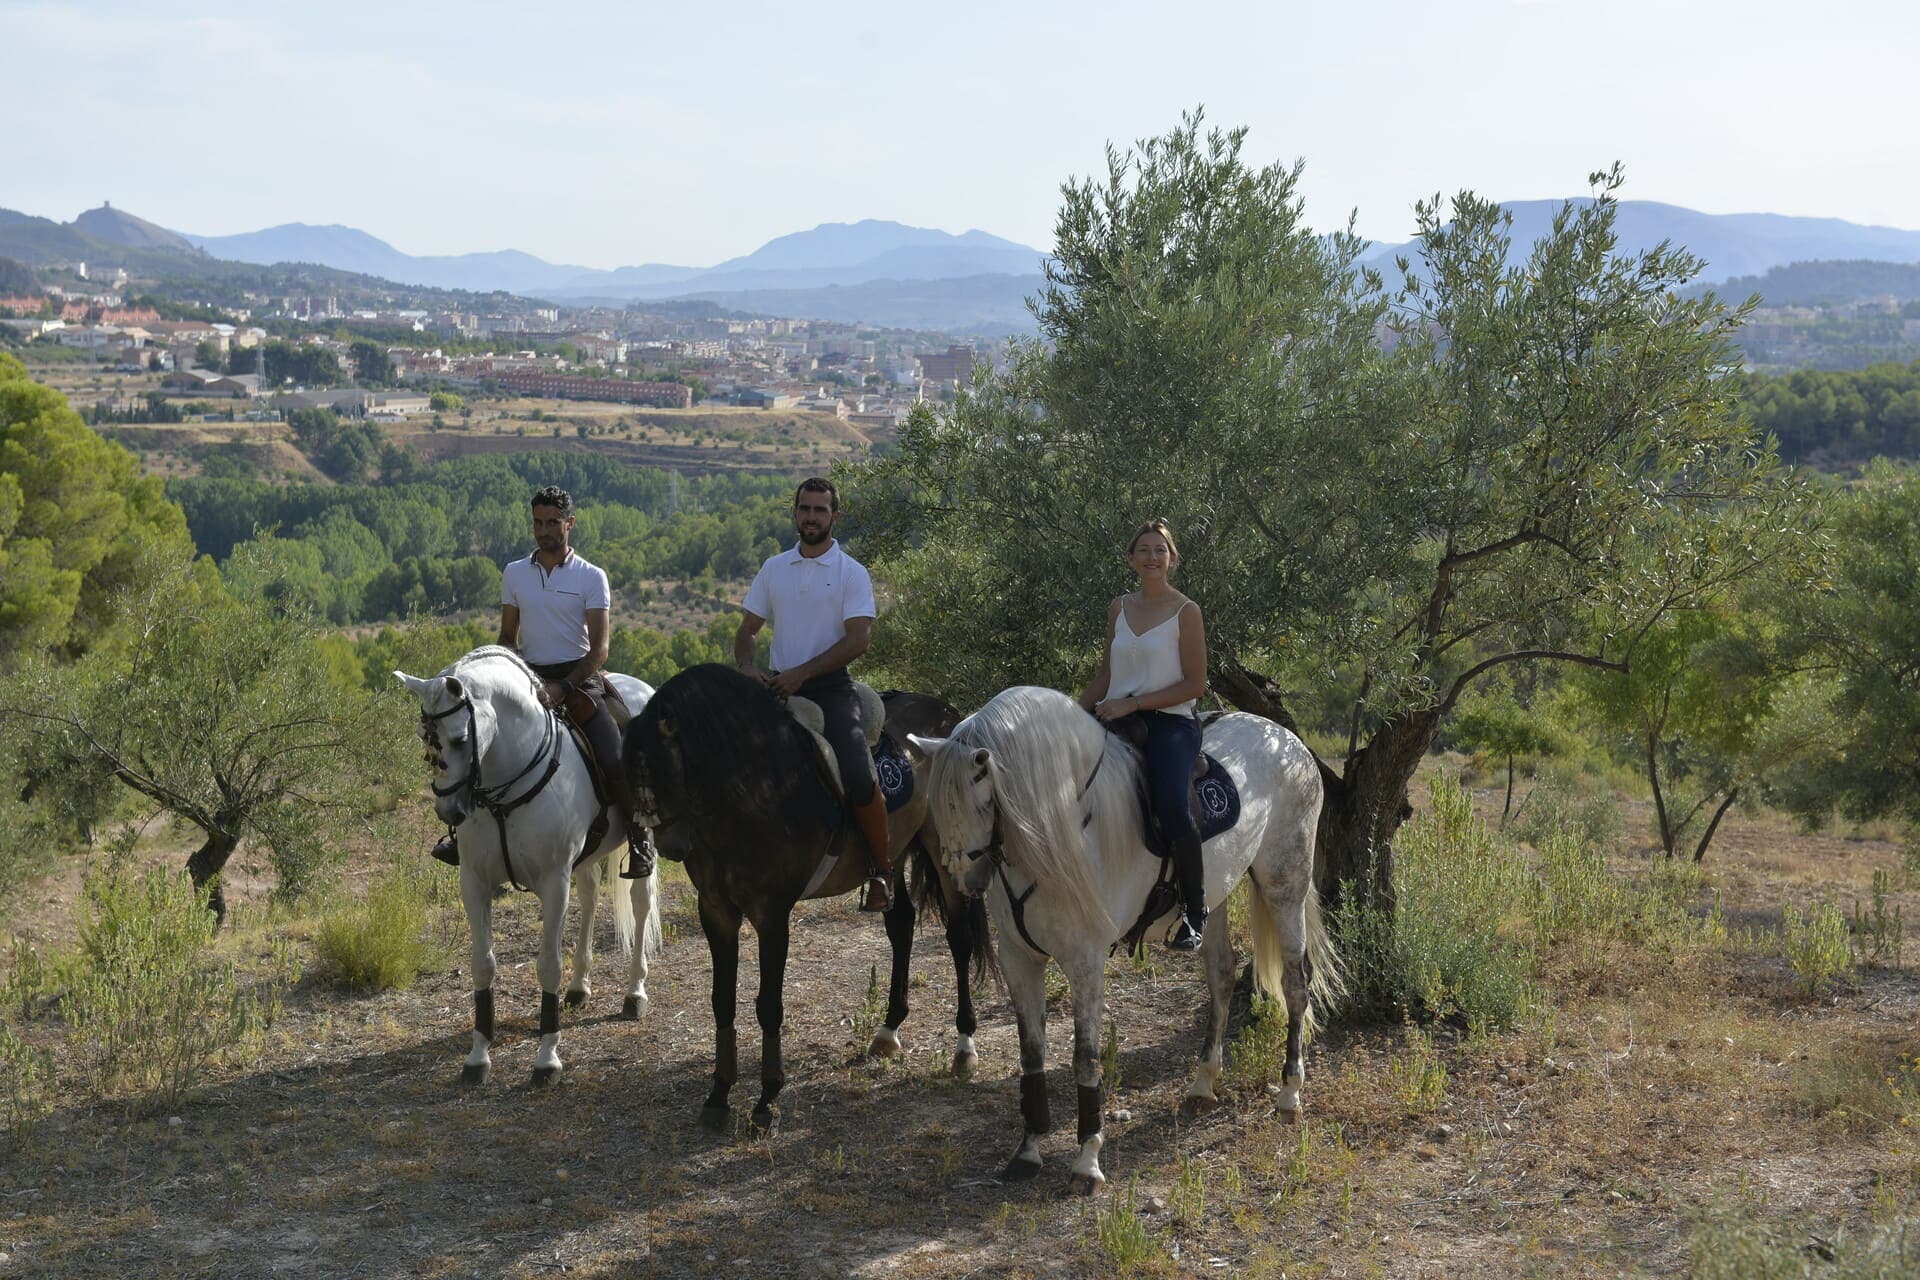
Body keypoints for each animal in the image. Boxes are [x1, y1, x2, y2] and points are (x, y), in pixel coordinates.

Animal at [393, 644, 664, 1090]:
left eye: (460, 739)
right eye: (423, 737)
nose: (448, 811)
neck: (505, 786)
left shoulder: (553, 882)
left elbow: (548, 966)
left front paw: (547, 1059)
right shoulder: (475, 883)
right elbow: (482, 965)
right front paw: (478, 1056)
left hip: (642, 837)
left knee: (641, 903)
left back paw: (634, 993)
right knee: (590, 897)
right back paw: (580, 987)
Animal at [625, 667, 990, 1128]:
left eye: (668, 765)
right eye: (631, 776)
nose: (670, 845)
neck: (753, 785)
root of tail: (950, 718)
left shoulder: (771, 914)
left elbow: (768, 1005)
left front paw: (767, 1100)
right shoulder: (716, 911)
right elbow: (721, 1000)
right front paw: (719, 1095)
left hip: (944, 849)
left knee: (959, 939)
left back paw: (964, 1047)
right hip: (897, 852)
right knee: (901, 923)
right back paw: (888, 1032)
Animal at [910, 687, 1336, 1197]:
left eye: (982, 799)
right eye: (936, 805)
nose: (966, 879)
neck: (1059, 829)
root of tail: (1287, 739)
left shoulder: (1085, 962)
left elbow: (1085, 1058)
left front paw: (1087, 1161)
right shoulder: (1020, 959)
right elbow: (1031, 1053)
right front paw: (1028, 1149)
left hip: (1285, 885)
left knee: (1294, 985)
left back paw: (1290, 1093)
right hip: (1214, 897)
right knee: (1221, 978)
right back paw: (1202, 1084)